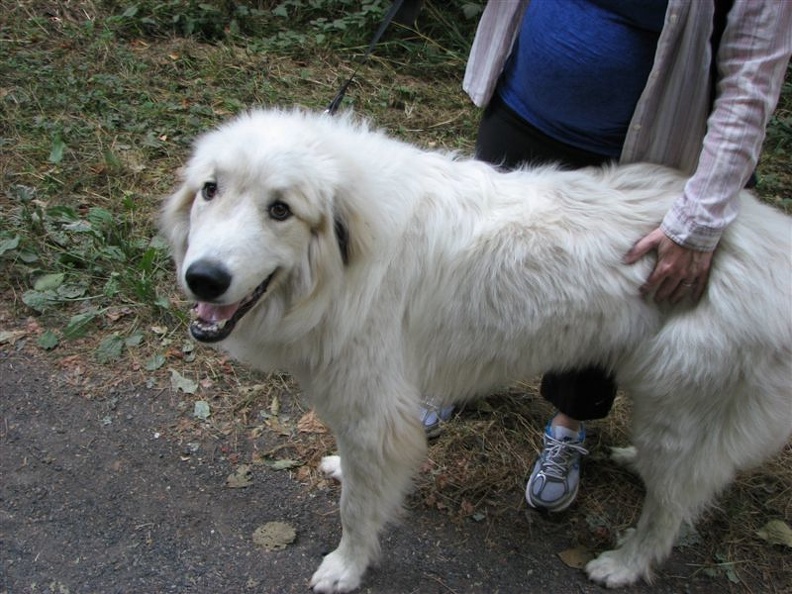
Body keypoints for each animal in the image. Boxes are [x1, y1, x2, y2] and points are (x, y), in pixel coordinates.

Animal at [162, 108, 792, 588]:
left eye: (281, 210)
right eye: (211, 190)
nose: (204, 279)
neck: (350, 259)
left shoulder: (374, 412)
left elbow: (357, 512)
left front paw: (345, 568)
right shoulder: (366, 406)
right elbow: (359, 476)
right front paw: (343, 470)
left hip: (679, 409)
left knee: (671, 510)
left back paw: (624, 563)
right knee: (689, 480)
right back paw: (637, 463)